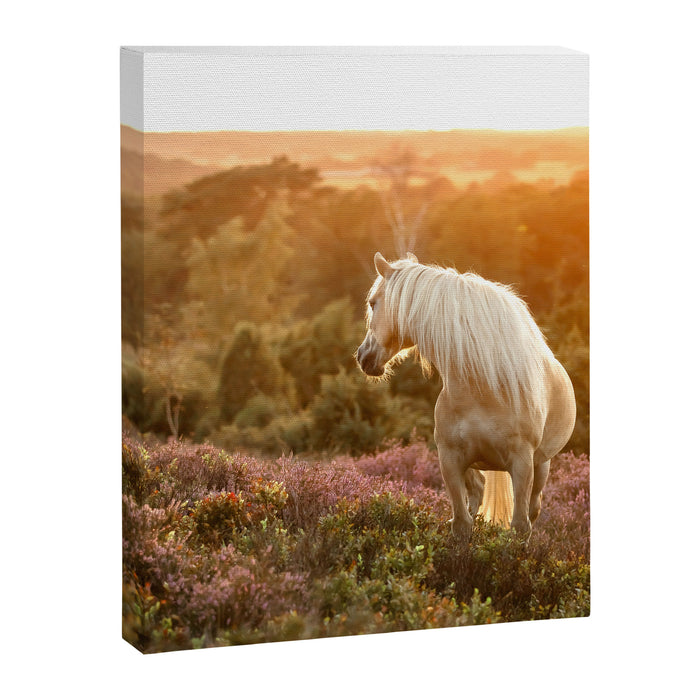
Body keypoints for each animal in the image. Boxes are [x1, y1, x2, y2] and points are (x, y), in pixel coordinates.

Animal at [356, 252, 576, 541]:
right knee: (478, 491)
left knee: (533, 507)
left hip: (541, 465)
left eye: (373, 303)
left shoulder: (522, 462)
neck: (482, 389)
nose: (363, 357)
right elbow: (461, 523)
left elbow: (520, 525)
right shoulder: (450, 459)